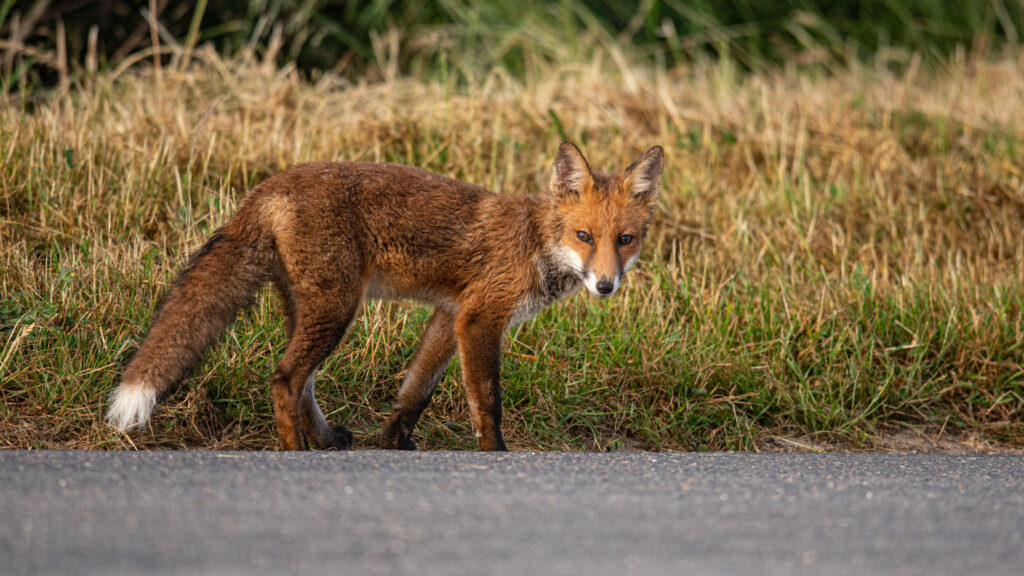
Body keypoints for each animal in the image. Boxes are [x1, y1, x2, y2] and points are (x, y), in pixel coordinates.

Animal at [106, 142, 664, 451]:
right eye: (584, 236)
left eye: (625, 240)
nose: (606, 285)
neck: (534, 242)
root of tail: (267, 187)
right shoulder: (480, 318)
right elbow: (487, 401)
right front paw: (496, 453)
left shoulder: (449, 316)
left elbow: (415, 390)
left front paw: (394, 441)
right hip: (337, 309)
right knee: (285, 379)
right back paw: (295, 450)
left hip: (313, 307)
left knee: (303, 380)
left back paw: (326, 440)